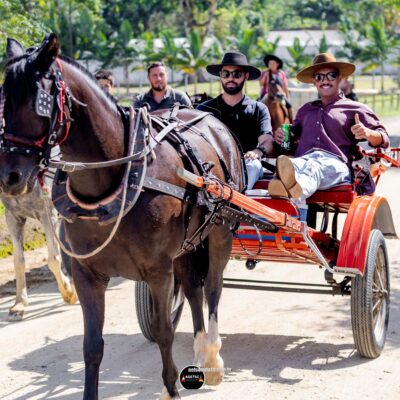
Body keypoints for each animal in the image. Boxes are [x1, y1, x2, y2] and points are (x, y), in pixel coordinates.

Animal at [0, 177, 77, 320]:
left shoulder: (48, 213)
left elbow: (53, 260)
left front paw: (68, 292)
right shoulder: (13, 216)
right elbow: (18, 261)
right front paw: (19, 304)